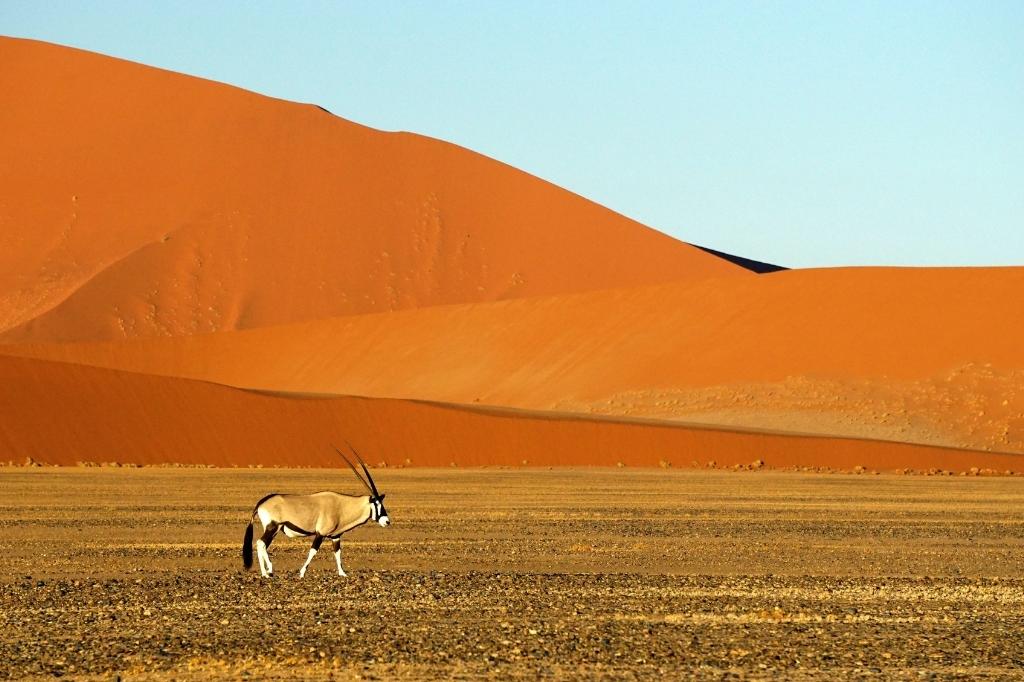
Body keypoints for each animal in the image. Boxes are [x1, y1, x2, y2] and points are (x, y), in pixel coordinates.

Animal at [241, 444, 389, 577]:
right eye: (376, 504)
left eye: (382, 503)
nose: (387, 521)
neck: (341, 506)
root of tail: (262, 502)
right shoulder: (320, 534)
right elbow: (313, 551)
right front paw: (301, 573)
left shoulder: (335, 536)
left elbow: (337, 553)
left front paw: (343, 573)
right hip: (273, 527)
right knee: (261, 543)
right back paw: (267, 572)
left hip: (273, 529)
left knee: (262, 545)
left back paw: (266, 572)